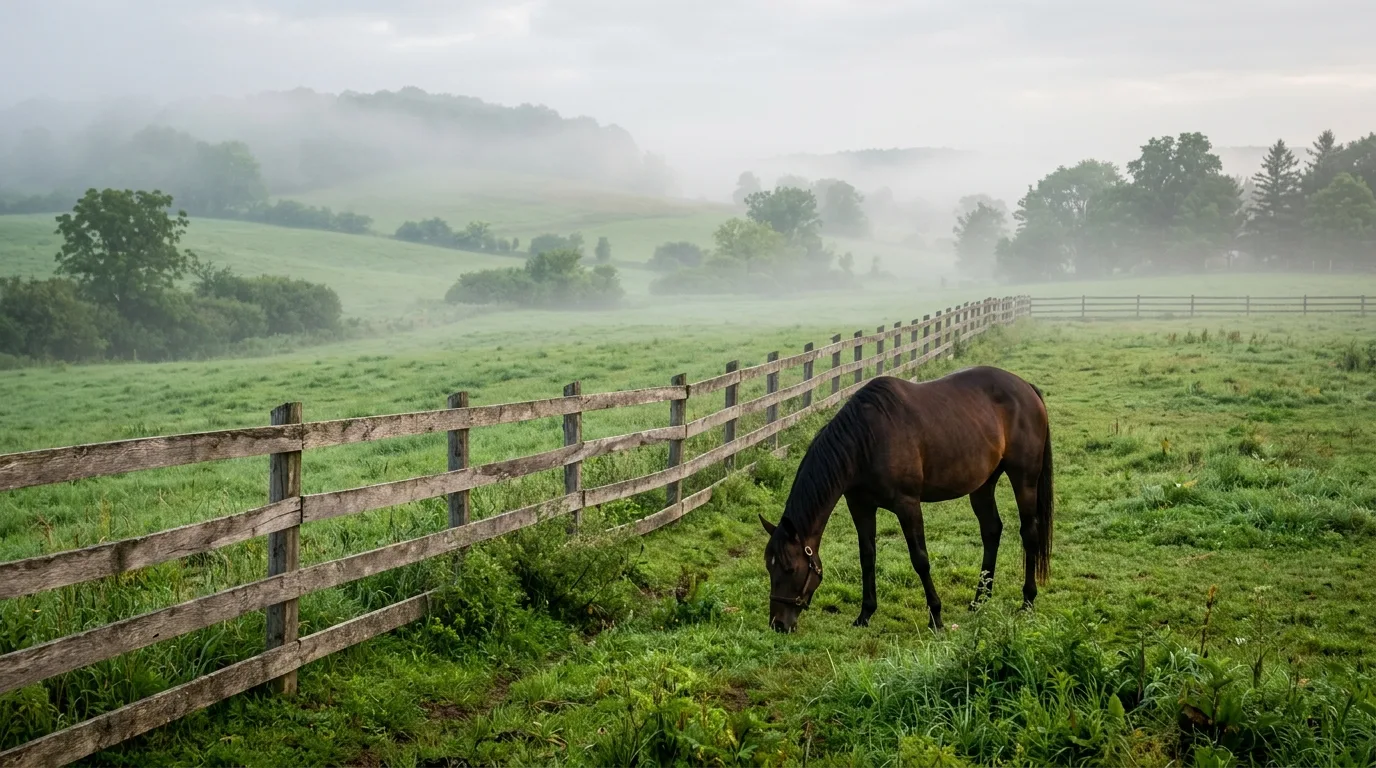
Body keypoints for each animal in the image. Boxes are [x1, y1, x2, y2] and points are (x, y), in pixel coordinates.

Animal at [759, 366, 1054, 633]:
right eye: (768, 568)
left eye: (789, 568)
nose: (778, 624)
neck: (866, 440)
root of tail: (1026, 388)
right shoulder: (860, 506)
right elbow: (867, 556)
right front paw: (865, 614)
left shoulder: (907, 505)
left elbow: (920, 559)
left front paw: (936, 616)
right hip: (983, 484)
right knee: (991, 531)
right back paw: (979, 601)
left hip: (1024, 480)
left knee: (1029, 534)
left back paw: (1028, 600)